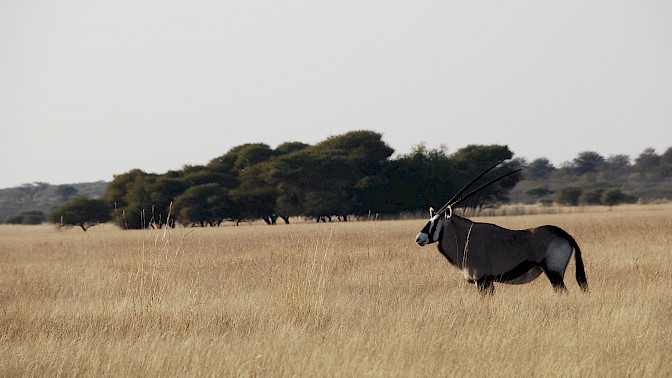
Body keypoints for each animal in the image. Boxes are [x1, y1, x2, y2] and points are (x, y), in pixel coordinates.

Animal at [414, 160, 588, 296]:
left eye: (436, 221)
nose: (418, 238)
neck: (465, 237)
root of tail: (566, 236)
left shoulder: (482, 280)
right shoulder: (487, 281)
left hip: (554, 273)